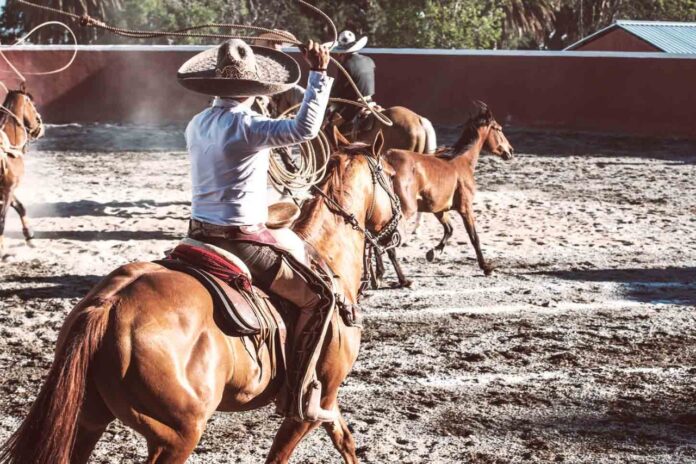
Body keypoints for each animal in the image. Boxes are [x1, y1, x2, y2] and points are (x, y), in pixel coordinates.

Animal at [0, 87, 44, 254]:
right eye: (34, 105)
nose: (40, 129)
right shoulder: (8, 189)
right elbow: (2, 220)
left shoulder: (8, 189)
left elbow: (20, 207)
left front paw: (29, 236)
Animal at [0, 135, 400, 464]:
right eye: (392, 175)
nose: (399, 226)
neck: (326, 256)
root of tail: (108, 307)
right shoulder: (311, 404)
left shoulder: (327, 400)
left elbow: (345, 440)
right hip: (176, 436)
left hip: (87, 419)